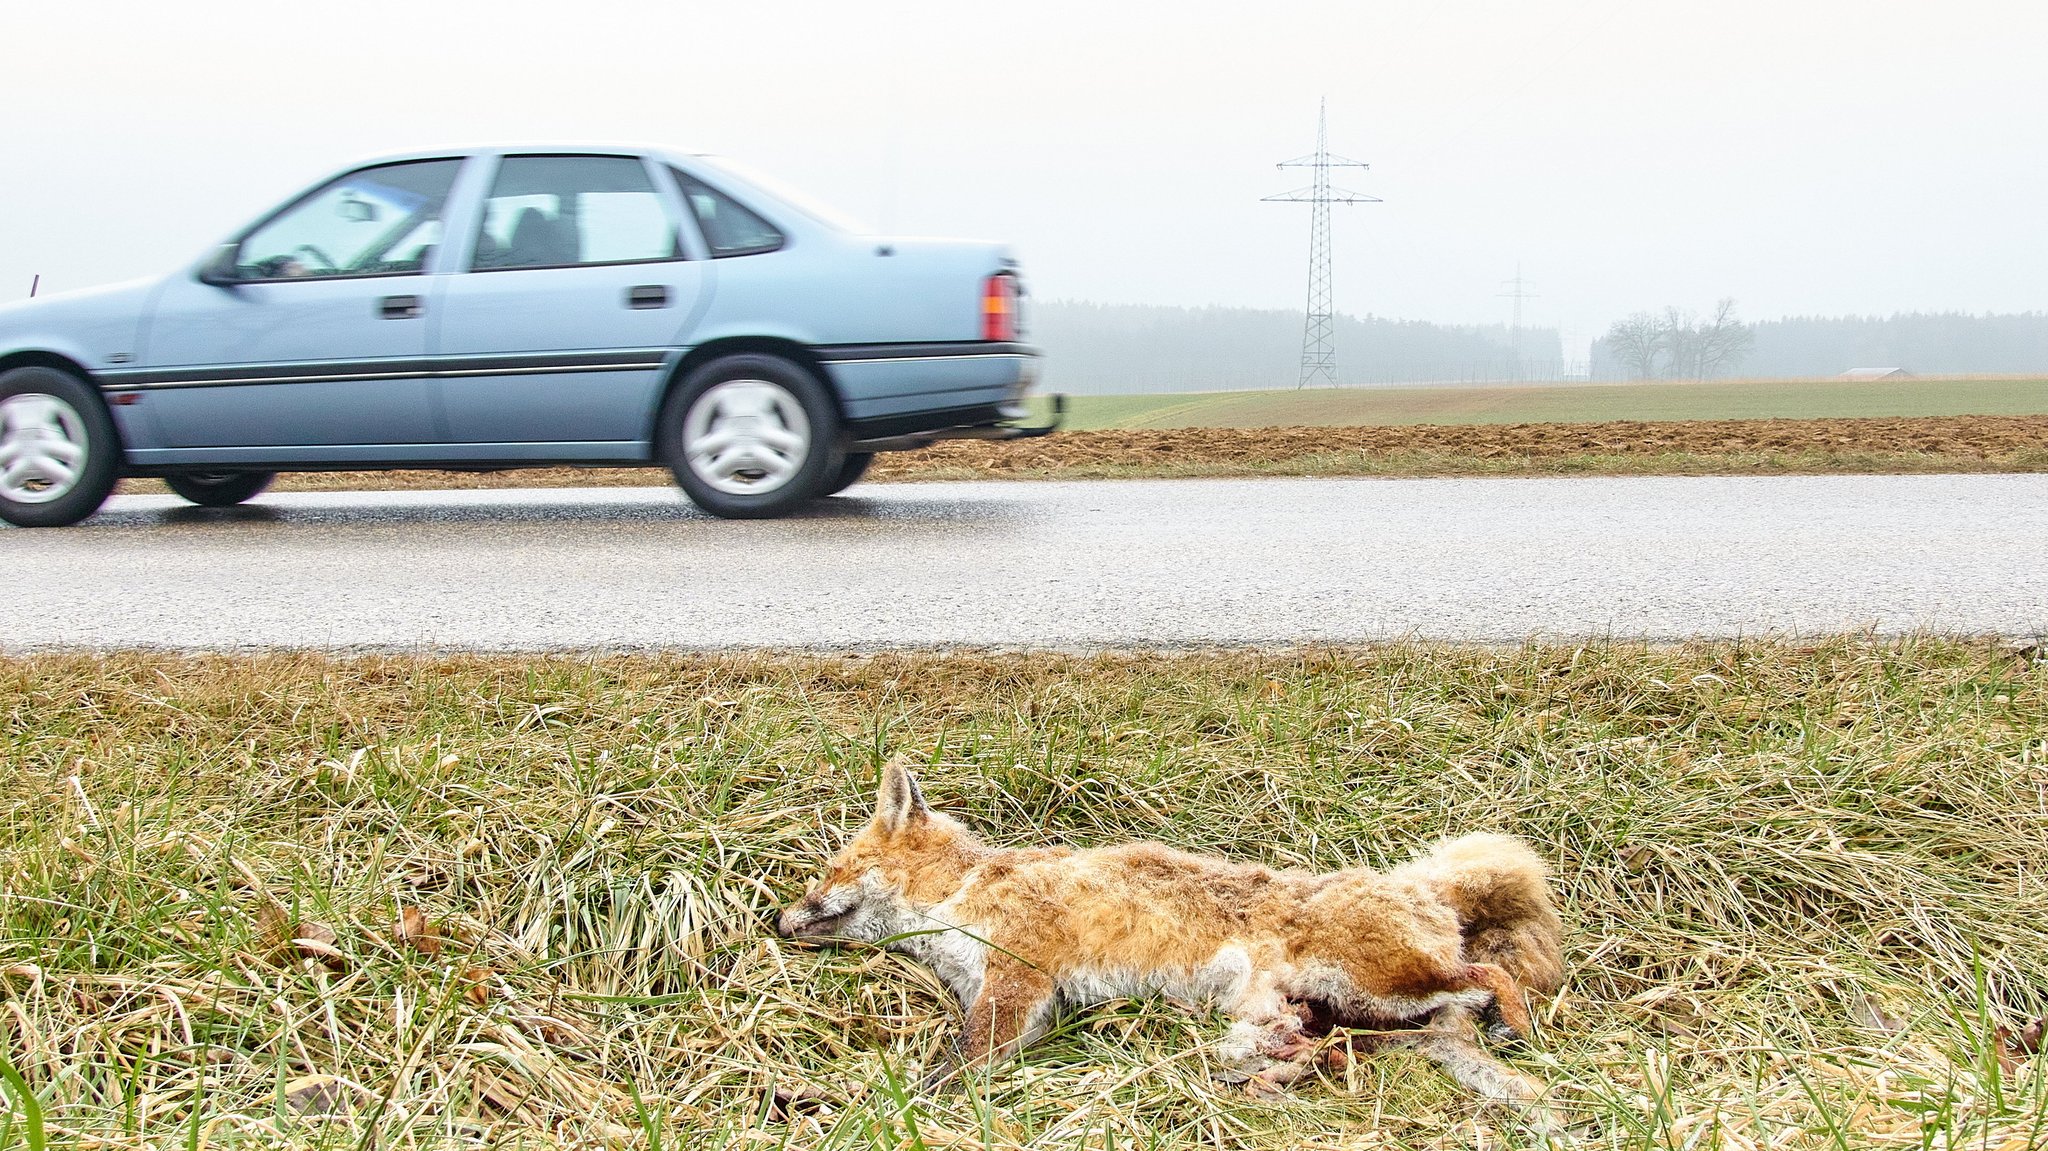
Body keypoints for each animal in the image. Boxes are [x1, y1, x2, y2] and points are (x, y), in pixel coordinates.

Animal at [778, 757, 1564, 1122]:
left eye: (832, 869)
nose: (777, 921)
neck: (969, 889)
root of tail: (1423, 888)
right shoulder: (1025, 1005)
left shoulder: (1018, 981)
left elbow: (948, 1069)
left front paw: (879, 1106)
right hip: (1357, 1014)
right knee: (1365, 1041)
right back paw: (1284, 1073)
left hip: (1380, 983)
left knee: (1490, 977)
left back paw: (1519, 1025)